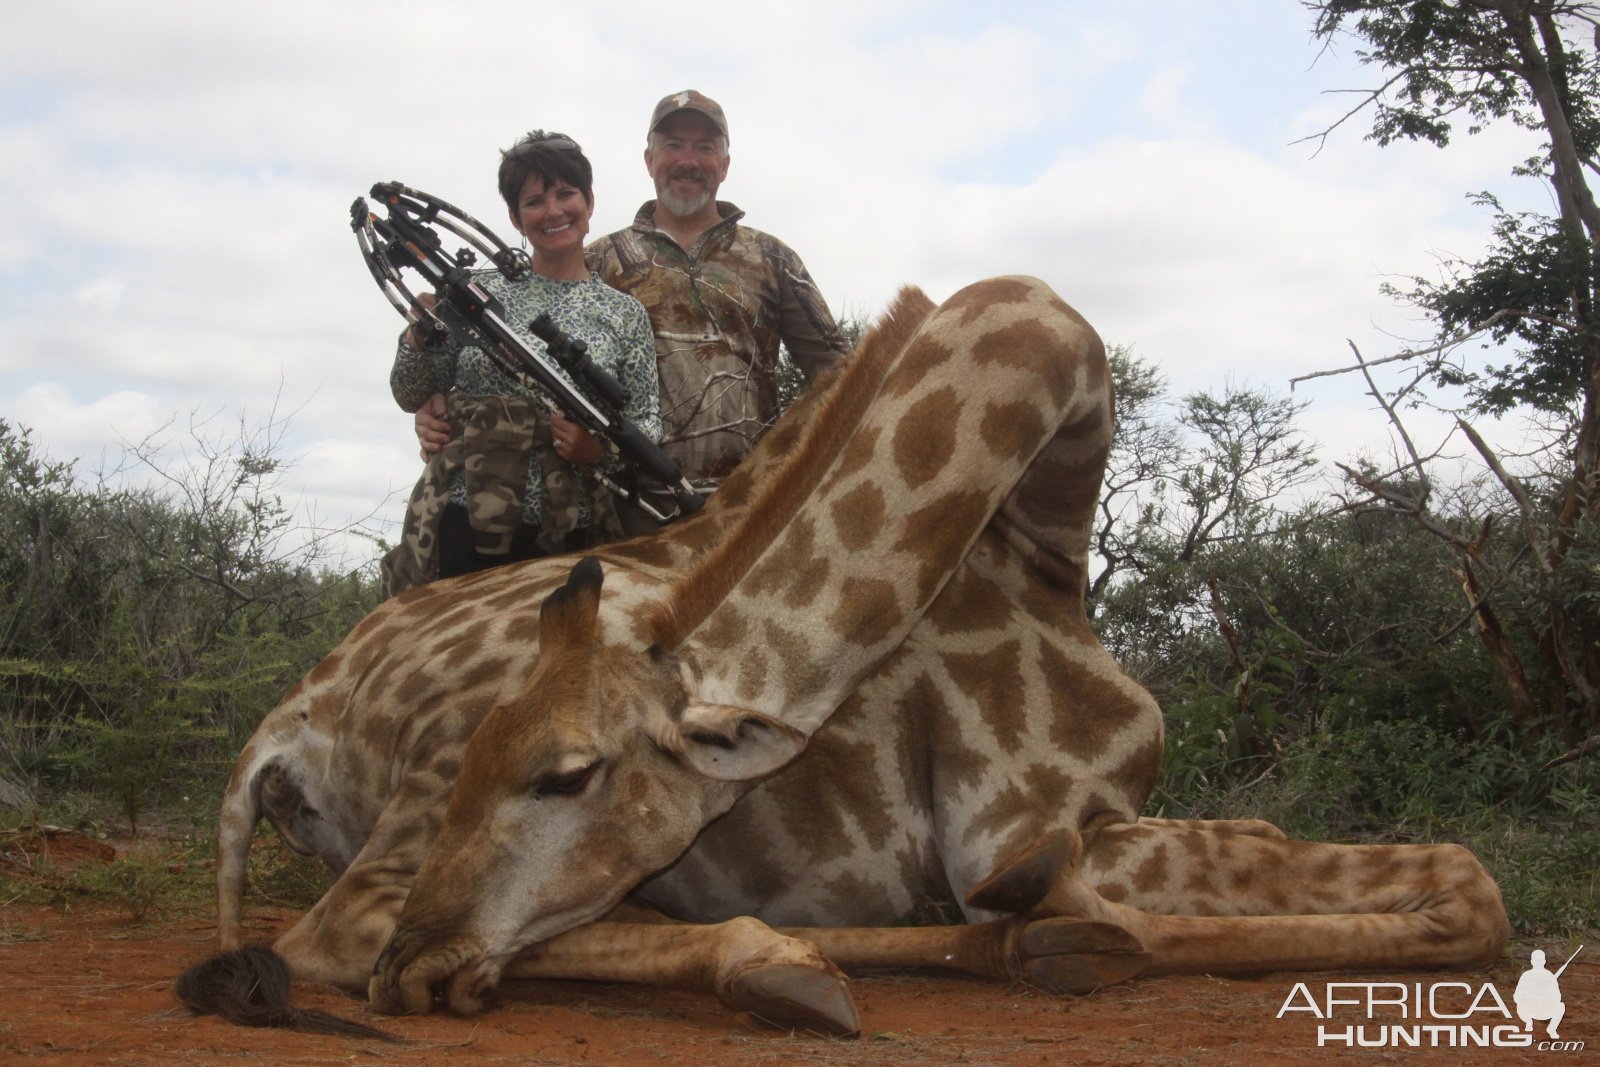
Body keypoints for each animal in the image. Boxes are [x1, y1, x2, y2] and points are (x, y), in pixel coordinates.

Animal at [193, 278, 1504, 1043]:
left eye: (565, 773)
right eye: (498, 760)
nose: (416, 967)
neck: (1048, 551)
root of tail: (289, 714)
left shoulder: (1091, 815)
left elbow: (1452, 881)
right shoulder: (1020, 821)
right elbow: (1455, 879)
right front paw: (1067, 924)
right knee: (330, 933)